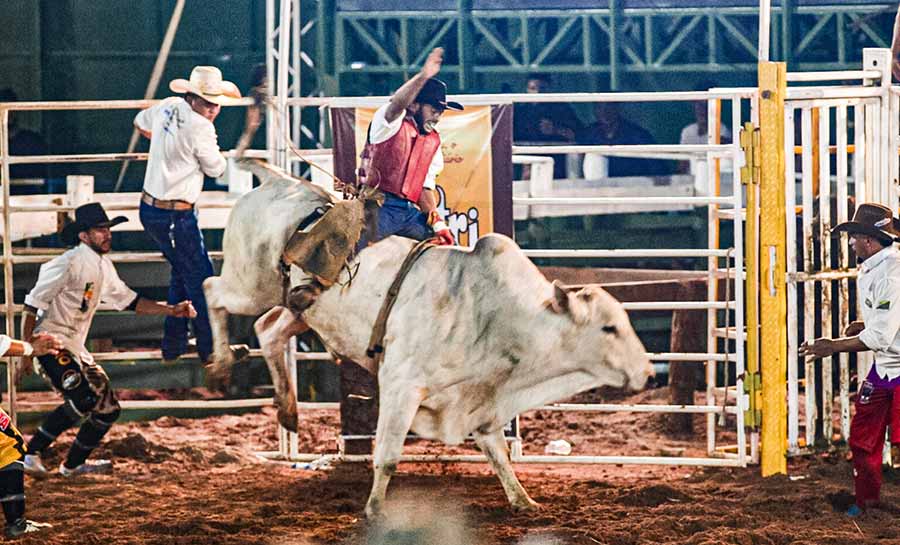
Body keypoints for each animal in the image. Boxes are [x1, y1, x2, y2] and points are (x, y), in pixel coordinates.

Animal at [204, 160, 652, 516]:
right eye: (608, 328)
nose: (647, 371)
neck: (494, 313)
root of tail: (280, 181)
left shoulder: (480, 397)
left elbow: (498, 454)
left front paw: (523, 500)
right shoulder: (401, 385)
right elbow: (387, 456)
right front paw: (374, 510)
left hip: (300, 309)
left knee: (269, 328)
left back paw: (288, 410)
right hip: (250, 284)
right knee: (213, 291)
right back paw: (223, 364)